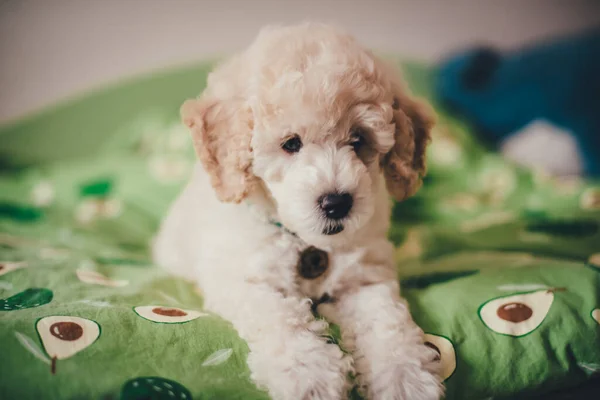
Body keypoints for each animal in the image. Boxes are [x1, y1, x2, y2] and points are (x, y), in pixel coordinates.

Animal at [154, 23, 446, 400]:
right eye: (291, 143)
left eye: (358, 140)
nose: (337, 203)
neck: (305, 241)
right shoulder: (244, 278)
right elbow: (280, 317)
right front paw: (311, 374)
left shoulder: (365, 277)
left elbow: (387, 321)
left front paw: (405, 377)